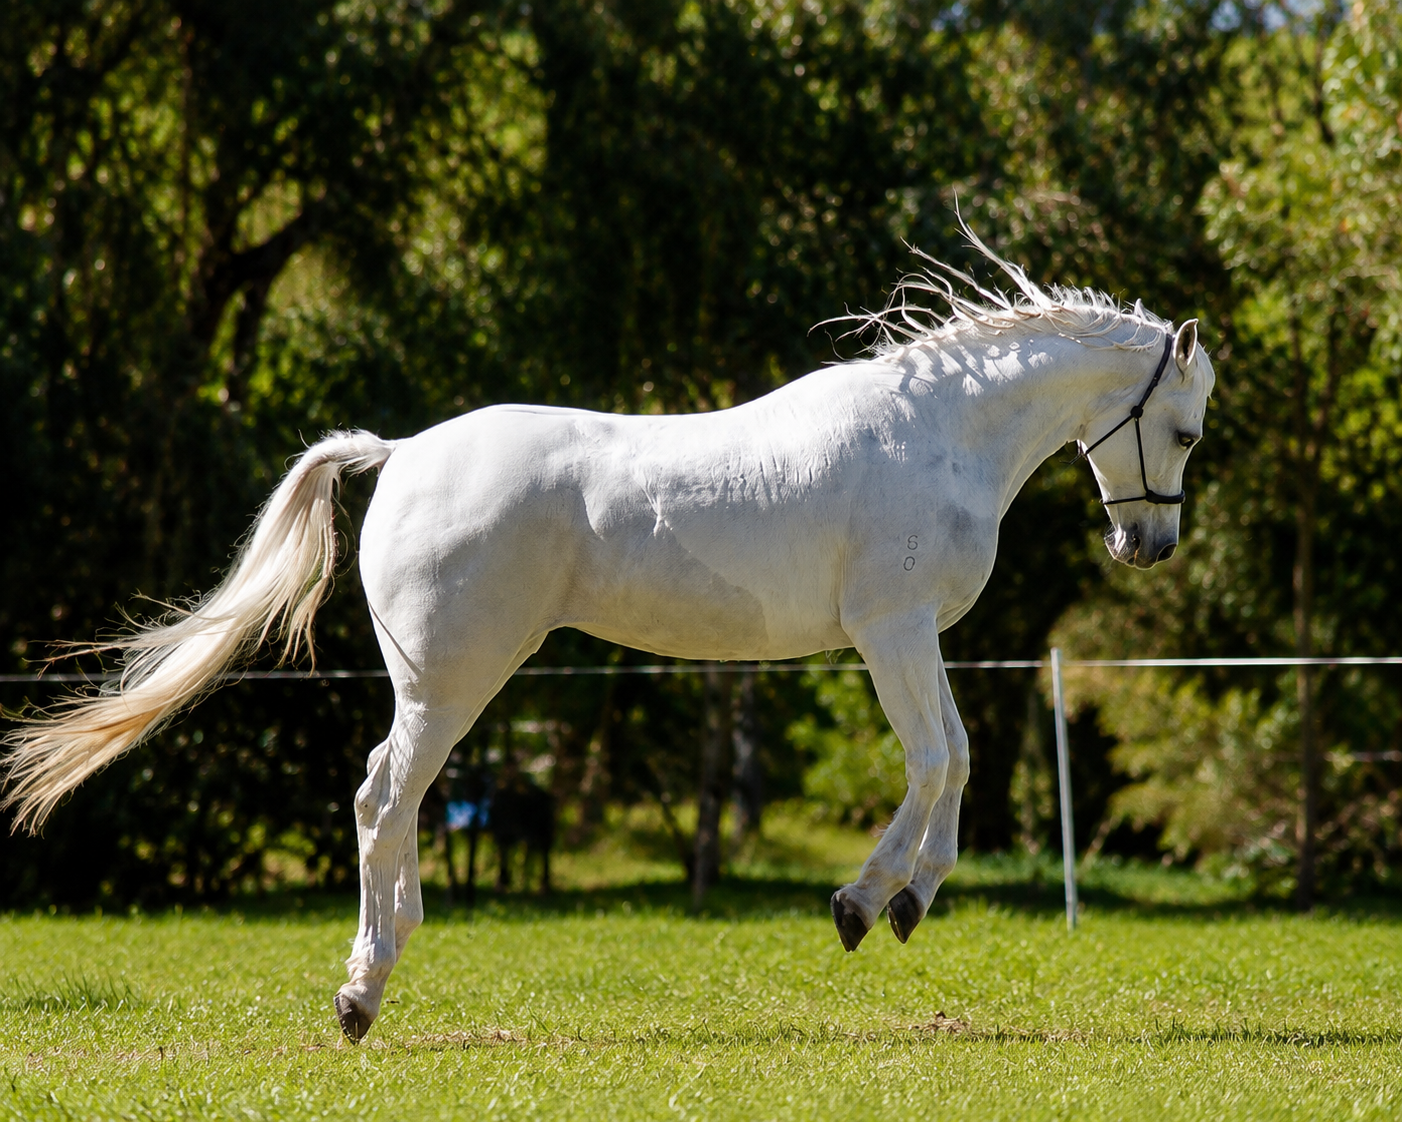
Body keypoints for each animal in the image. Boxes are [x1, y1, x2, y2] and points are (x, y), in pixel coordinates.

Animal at [1, 234, 1214, 1043]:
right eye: (1186, 429)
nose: (1145, 544)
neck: (936, 438)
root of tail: (402, 451)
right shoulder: (892, 634)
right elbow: (938, 761)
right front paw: (872, 904)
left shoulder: (907, 642)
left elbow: (952, 760)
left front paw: (897, 903)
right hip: (455, 680)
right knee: (384, 798)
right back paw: (359, 995)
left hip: (445, 683)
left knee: (385, 797)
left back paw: (376, 976)